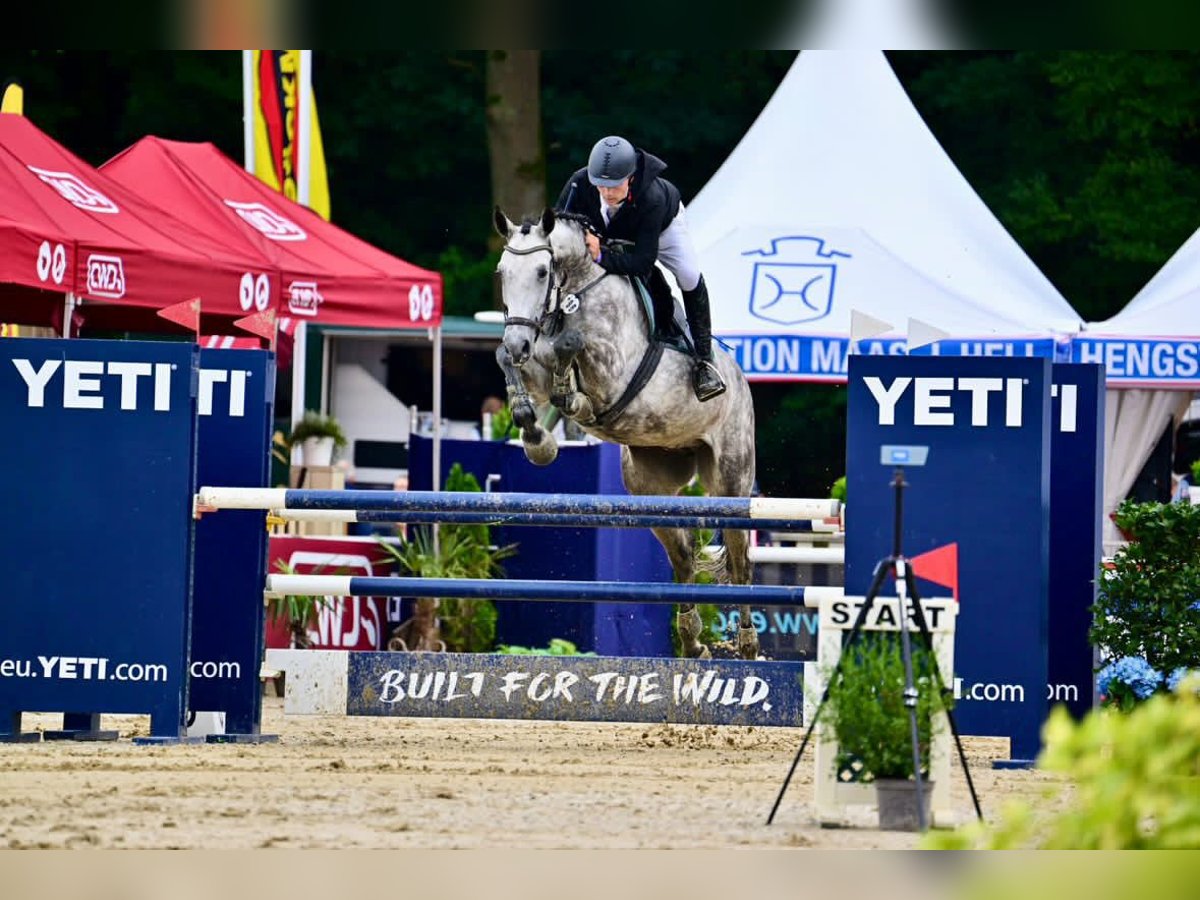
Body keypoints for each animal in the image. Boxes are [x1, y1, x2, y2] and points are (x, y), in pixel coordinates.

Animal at [489, 211, 753, 662]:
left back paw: (748, 645)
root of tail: (741, 381)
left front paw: (569, 403)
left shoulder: (613, 368)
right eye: (502, 272)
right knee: (684, 556)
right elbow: (510, 360)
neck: (576, 287)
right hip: (651, 486)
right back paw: (693, 641)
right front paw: (535, 435)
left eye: (542, 271)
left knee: (740, 563)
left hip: (732, 483)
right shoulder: (534, 361)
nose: (519, 340)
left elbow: (570, 346)